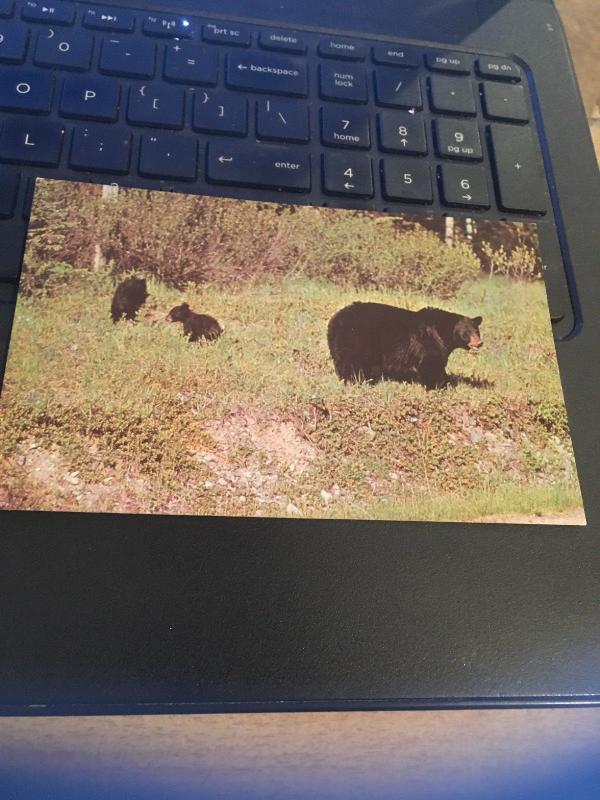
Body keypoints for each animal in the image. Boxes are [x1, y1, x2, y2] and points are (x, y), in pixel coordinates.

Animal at [328, 302, 482, 390]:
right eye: (467, 332)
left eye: (476, 330)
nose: (479, 343)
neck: (441, 332)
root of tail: (335, 320)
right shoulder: (427, 342)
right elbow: (431, 364)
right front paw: (437, 386)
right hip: (356, 339)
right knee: (352, 363)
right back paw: (356, 381)